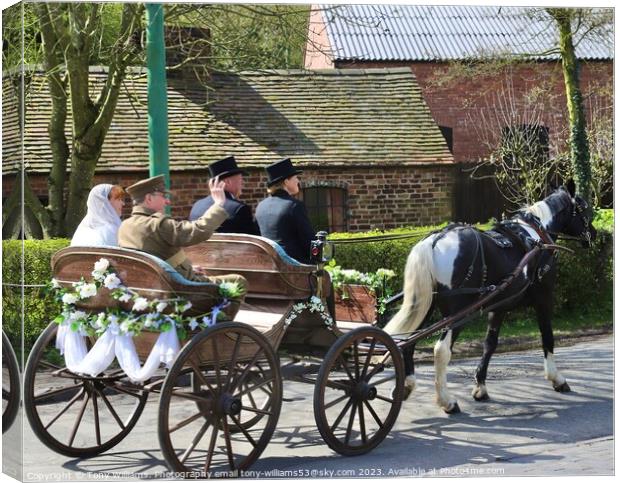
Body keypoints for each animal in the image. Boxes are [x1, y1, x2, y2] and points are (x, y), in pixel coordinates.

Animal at [382, 187, 596, 414]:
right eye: (583, 209)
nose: (594, 234)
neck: (537, 235)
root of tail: (435, 240)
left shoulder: (499, 306)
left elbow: (490, 344)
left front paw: (480, 387)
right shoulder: (544, 298)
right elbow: (547, 336)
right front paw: (557, 378)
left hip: (426, 306)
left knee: (408, 342)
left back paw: (406, 386)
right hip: (458, 311)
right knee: (441, 351)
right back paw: (446, 401)